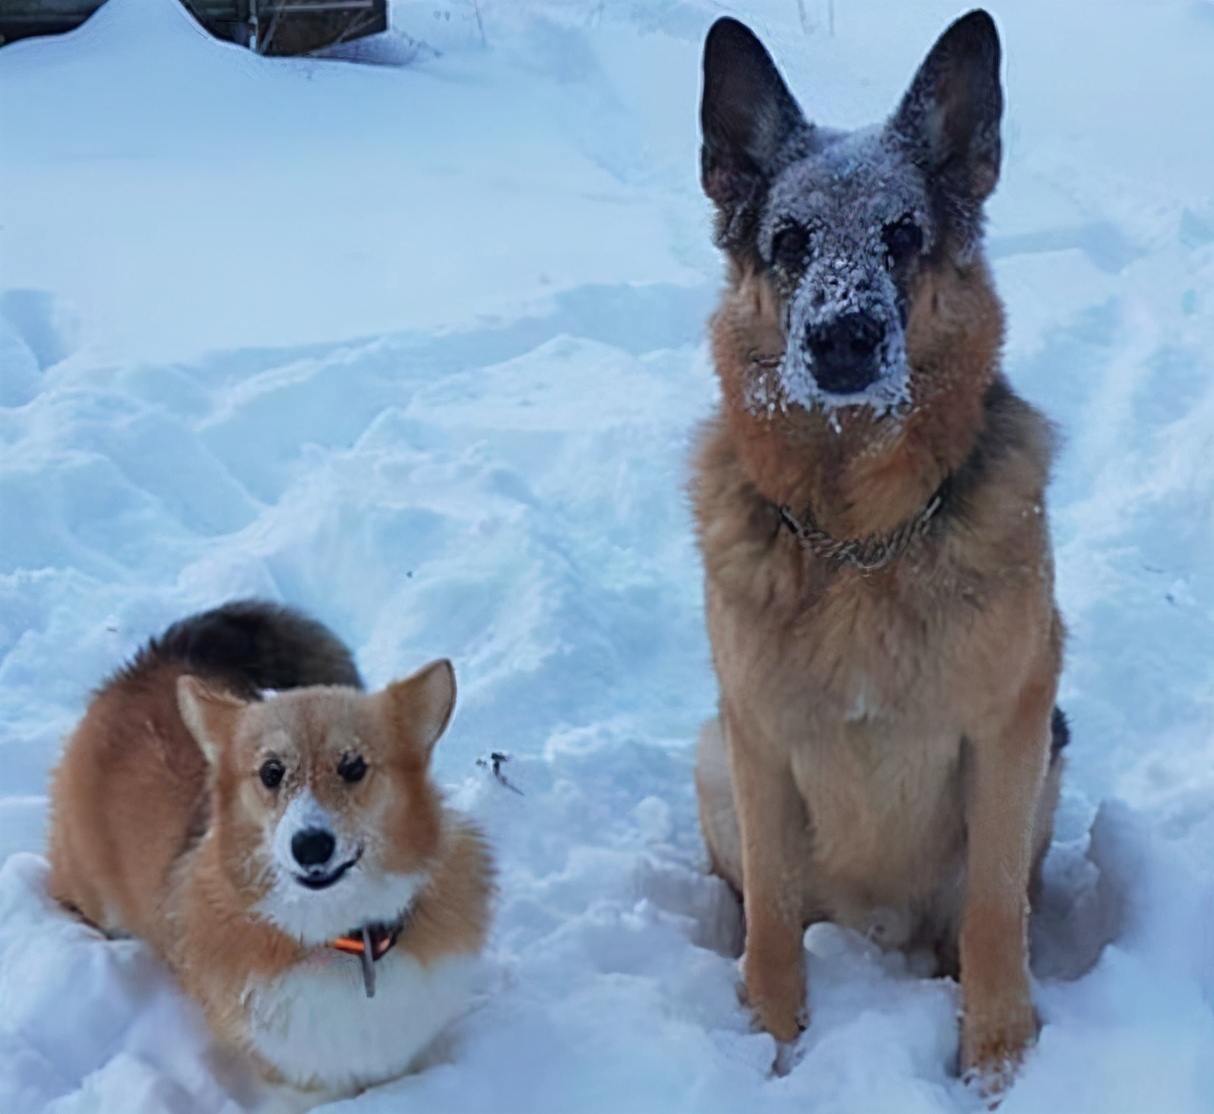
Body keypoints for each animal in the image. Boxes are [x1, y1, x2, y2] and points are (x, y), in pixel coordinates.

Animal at [689, 8, 1068, 1092]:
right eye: (790, 242)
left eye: (901, 235)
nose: (843, 339)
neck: (857, 537)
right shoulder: (758, 740)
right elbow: (773, 922)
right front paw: (773, 1044)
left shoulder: (1007, 733)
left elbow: (993, 914)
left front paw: (996, 1056)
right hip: (711, 760)